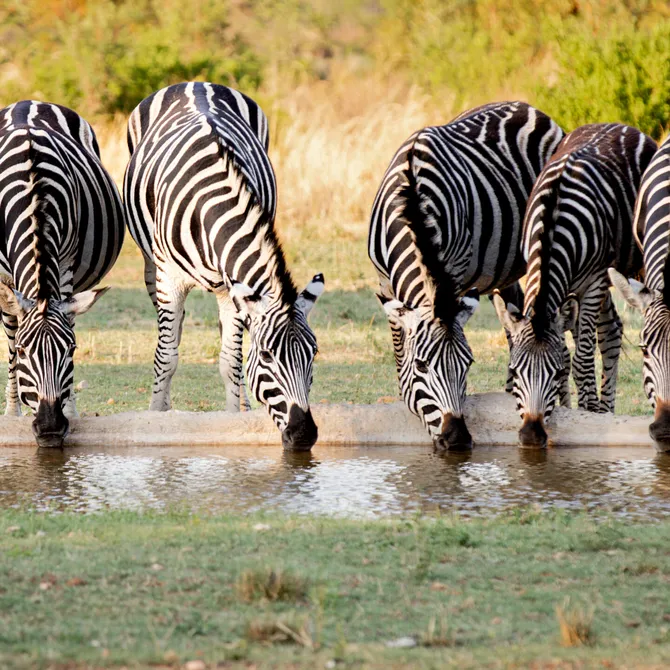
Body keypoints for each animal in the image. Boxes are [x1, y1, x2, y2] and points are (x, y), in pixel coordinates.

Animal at [0, 100, 125, 447]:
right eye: (25, 352)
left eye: (71, 350)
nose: (50, 428)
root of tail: (28, 102)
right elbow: (10, 339)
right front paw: (11, 413)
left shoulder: (66, 262)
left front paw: (70, 407)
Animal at [123, 82, 324, 450]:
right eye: (268, 357)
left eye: (313, 354)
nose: (304, 435)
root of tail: (194, 83)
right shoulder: (169, 280)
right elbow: (166, 356)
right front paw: (157, 414)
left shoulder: (229, 287)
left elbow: (231, 360)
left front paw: (234, 420)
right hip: (151, 265)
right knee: (170, 331)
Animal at [368, 101, 564, 450]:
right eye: (422, 366)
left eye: (468, 363)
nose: (457, 440)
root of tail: (527, 106)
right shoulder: (384, 281)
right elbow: (399, 342)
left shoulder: (455, 273)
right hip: (506, 270)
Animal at [494, 123, 656, 448]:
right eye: (515, 373)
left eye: (555, 374)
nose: (531, 436)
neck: (552, 224)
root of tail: (616, 125)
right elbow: (569, 352)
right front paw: (571, 408)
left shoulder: (593, 283)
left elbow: (581, 361)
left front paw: (587, 411)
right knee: (611, 331)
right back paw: (604, 408)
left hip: (632, 264)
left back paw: (601, 409)